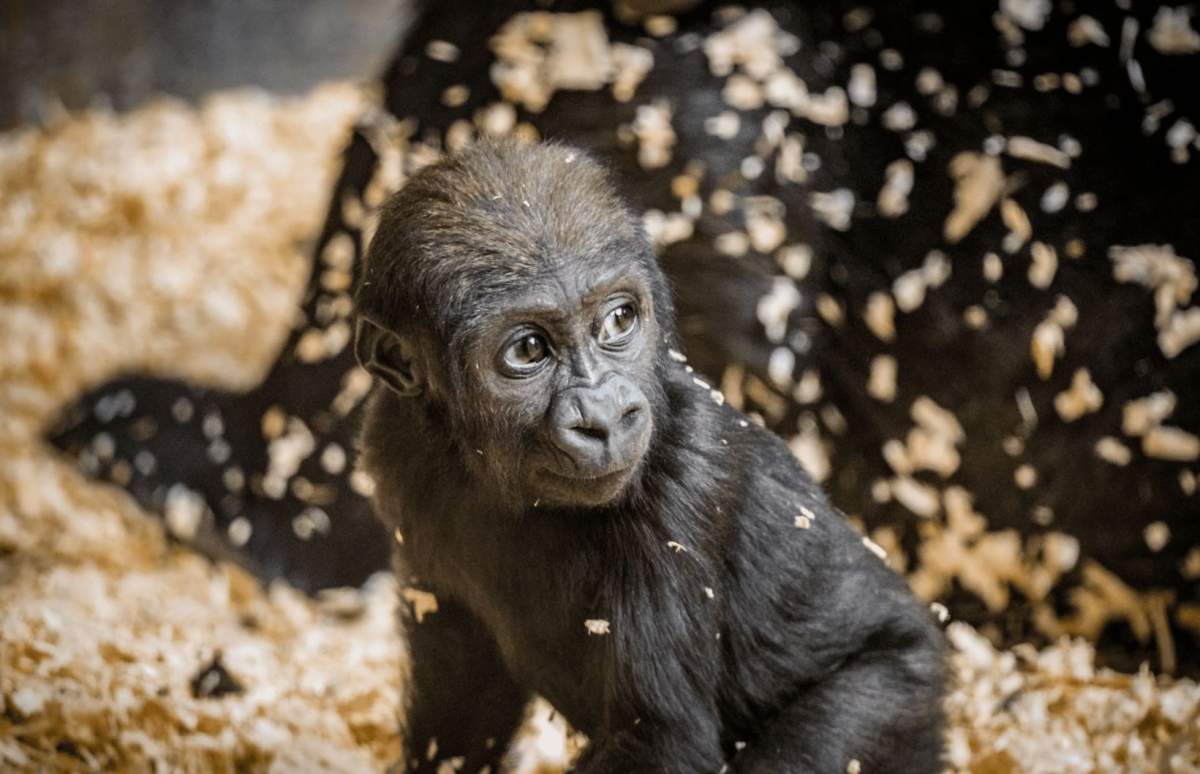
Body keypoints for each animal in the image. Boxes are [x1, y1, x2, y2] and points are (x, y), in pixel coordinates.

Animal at [352, 139, 946, 773]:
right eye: (529, 349)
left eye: (618, 319)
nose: (606, 419)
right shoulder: (395, 446)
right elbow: (460, 694)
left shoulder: (685, 477)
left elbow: (658, 738)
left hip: (900, 694)